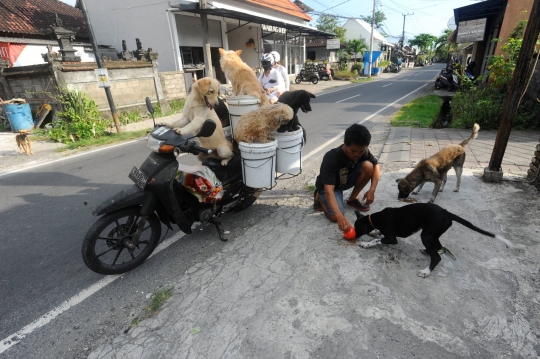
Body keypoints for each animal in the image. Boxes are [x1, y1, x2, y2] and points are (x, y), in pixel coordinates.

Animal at [352, 205, 512, 278]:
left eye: (356, 229)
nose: (353, 237)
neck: (375, 218)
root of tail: (448, 213)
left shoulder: (392, 238)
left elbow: (377, 240)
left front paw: (366, 244)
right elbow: (377, 234)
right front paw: (373, 232)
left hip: (426, 235)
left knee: (437, 257)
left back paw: (426, 271)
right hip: (432, 234)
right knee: (438, 247)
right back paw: (427, 252)